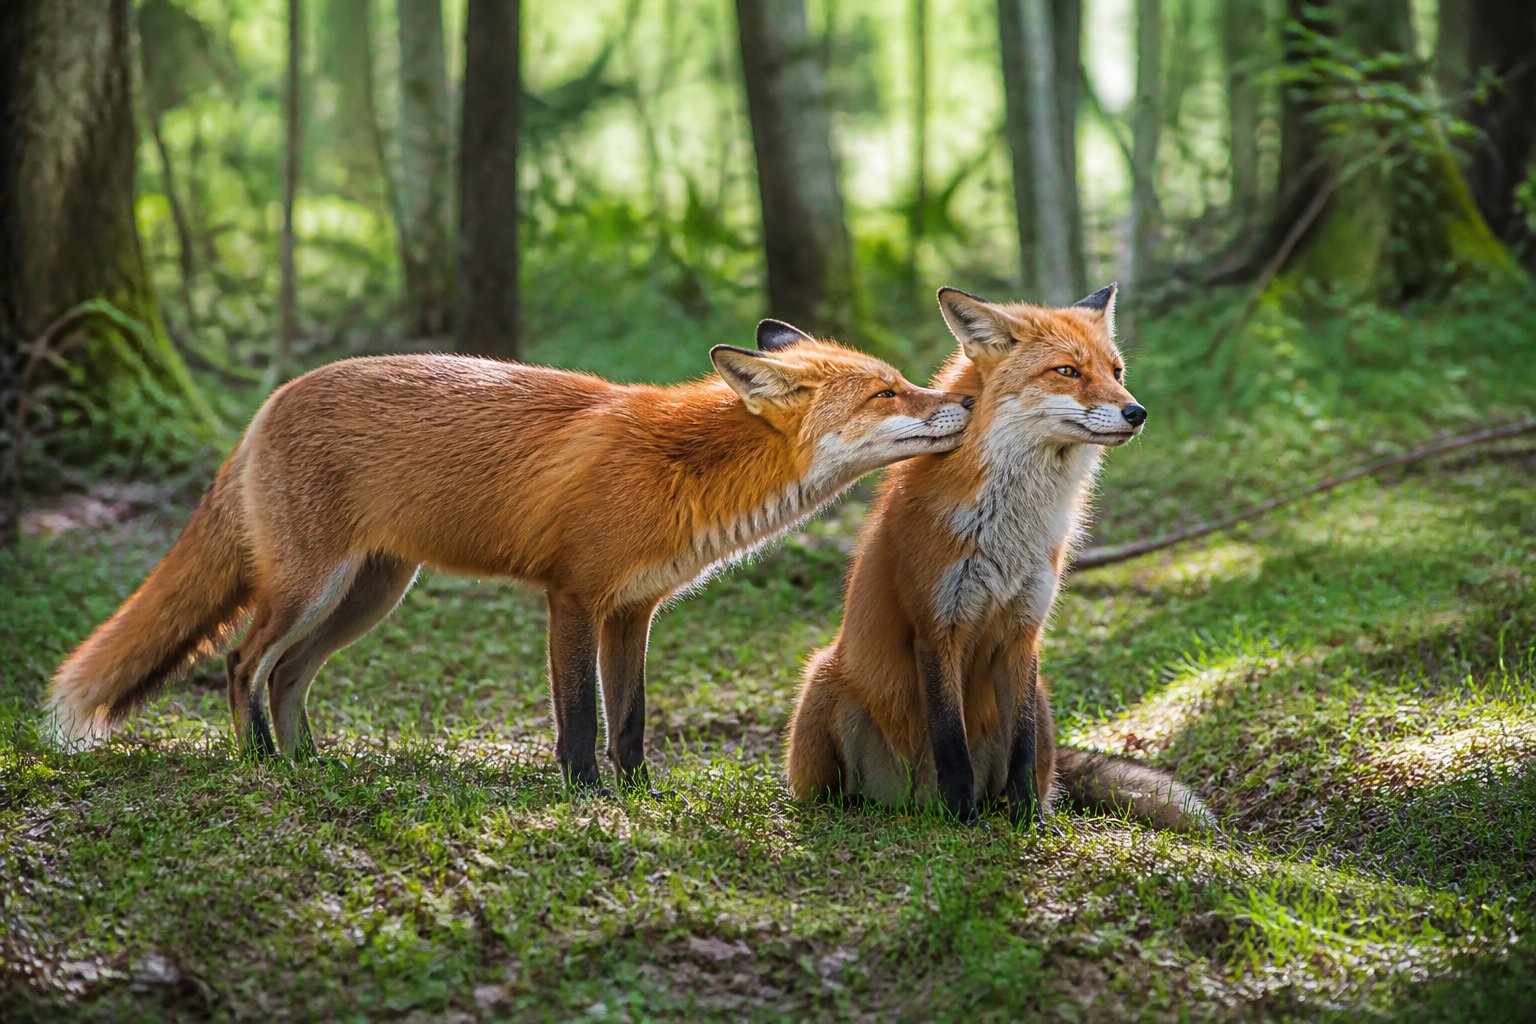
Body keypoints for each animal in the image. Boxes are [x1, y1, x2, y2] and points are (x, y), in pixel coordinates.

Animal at [48, 319, 972, 791]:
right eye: (888, 391)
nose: (965, 402)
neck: (686, 467)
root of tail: (271, 401)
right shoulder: (573, 594)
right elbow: (579, 715)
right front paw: (584, 794)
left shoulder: (633, 610)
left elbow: (630, 719)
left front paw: (638, 793)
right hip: (311, 588)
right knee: (243, 663)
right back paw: (262, 765)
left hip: (367, 596)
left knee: (286, 676)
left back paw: (311, 760)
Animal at [785, 285, 1212, 831]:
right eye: (1067, 371)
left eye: (1116, 372)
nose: (1137, 412)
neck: (1009, 528)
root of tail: (909, 802)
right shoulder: (937, 624)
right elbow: (952, 746)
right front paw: (961, 821)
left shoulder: (1024, 631)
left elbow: (1021, 752)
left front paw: (1029, 822)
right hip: (822, 685)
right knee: (835, 792)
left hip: (1044, 699)